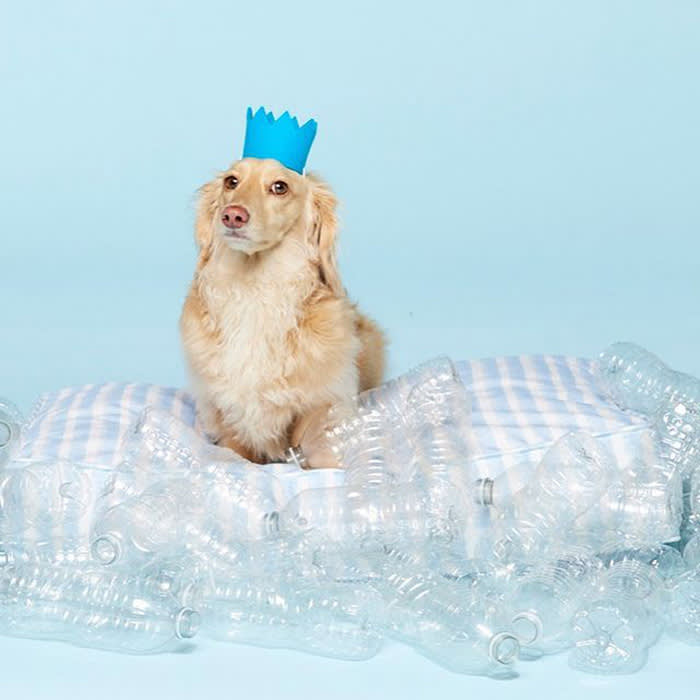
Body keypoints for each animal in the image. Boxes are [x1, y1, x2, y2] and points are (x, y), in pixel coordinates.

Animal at [180, 157, 386, 464]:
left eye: (280, 187)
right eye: (231, 181)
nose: (232, 216)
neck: (255, 286)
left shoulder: (322, 403)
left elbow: (319, 445)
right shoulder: (224, 407)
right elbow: (234, 448)